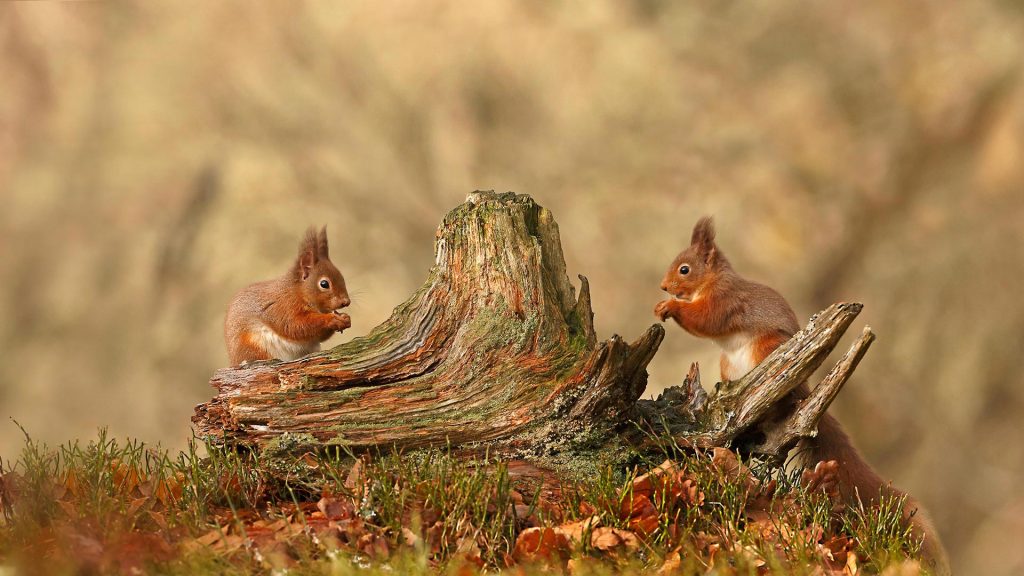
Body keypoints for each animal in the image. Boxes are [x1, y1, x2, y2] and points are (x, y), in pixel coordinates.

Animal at [224, 224, 352, 362]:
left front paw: (346, 318)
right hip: (254, 347)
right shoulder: (283, 307)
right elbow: (295, 326)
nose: (346, 302)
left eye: (342, 277)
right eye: (324, 284)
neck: (297, 292)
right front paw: (333, 319)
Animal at [655, 216, 950, 573]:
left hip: (767, 350)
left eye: (684, 269)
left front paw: (670, 307)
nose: (664, 287)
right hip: (728, 364)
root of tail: (803, 392)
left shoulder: (726, 300)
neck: (711, 282)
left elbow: (705, 319)